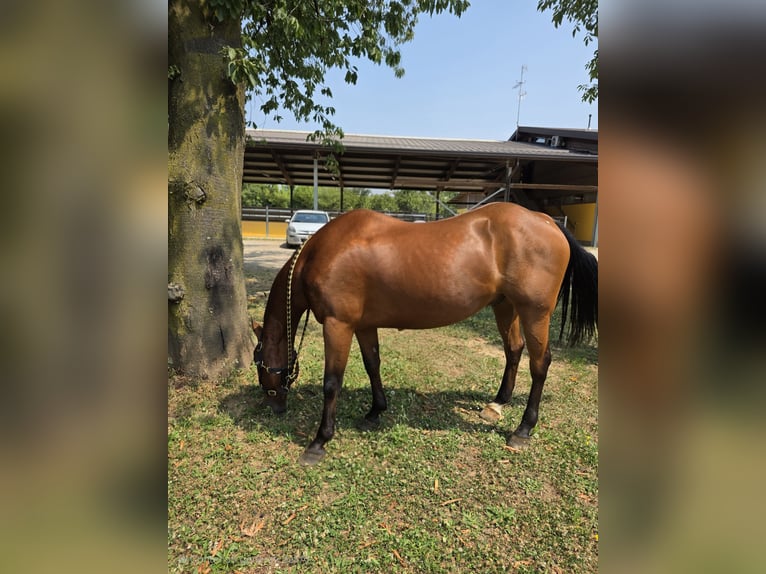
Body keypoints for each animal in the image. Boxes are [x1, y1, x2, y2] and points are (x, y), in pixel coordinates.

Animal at [252, 202, 597, 465]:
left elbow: (331, 383)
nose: (273, 406)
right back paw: (498, 403)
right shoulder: (363, 325)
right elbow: (372, 365)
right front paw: (375, 411)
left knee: (540, 364)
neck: (319, 253)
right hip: (506, 306)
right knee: (514, 349)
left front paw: (319, 441)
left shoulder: (339, 324)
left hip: (535, 312)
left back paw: (523, 429)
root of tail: (546, 221)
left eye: (259, 365)